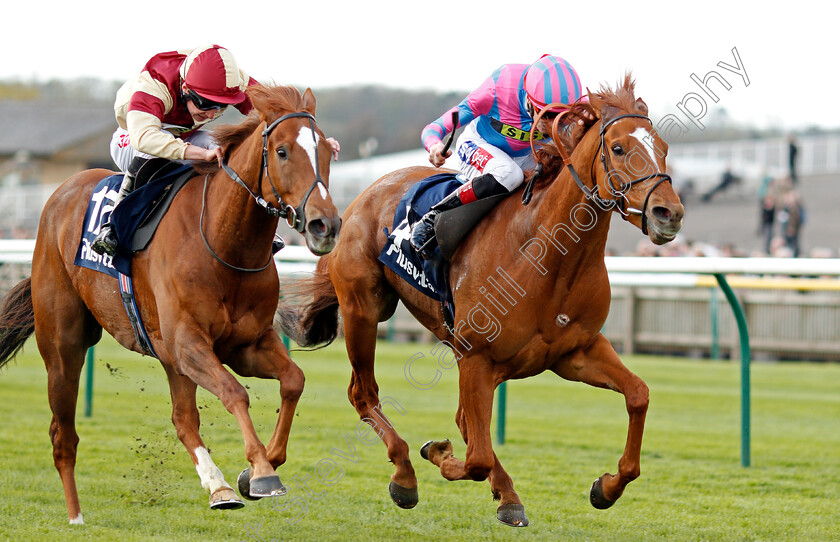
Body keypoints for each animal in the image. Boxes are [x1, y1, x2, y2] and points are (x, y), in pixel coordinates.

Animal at [0, 86, 342, 528]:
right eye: (282, 152)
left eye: (328, 153)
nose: (325, 225)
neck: (223, 241)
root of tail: (62, 191)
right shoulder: (189, 343)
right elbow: (234, 393)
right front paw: (263, 472)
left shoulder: (244, 345)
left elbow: (293, 381)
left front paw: (255, 469)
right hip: (65, 344)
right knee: (63, 433)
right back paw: (76, 517)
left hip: (167, 355)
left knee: (183, 420)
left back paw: (219, 489)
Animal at [278, 76, 684, 528]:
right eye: (617, 148)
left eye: (663, 147)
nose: (669, 213)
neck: (549, 255)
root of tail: (357, 199)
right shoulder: (476, 357)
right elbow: (475, 458)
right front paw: (438, 452)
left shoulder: (575, 352)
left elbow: (638, 395)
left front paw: (606, 487)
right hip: (363, 309)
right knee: (364, 394)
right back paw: (406, 475)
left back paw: (504, 493)